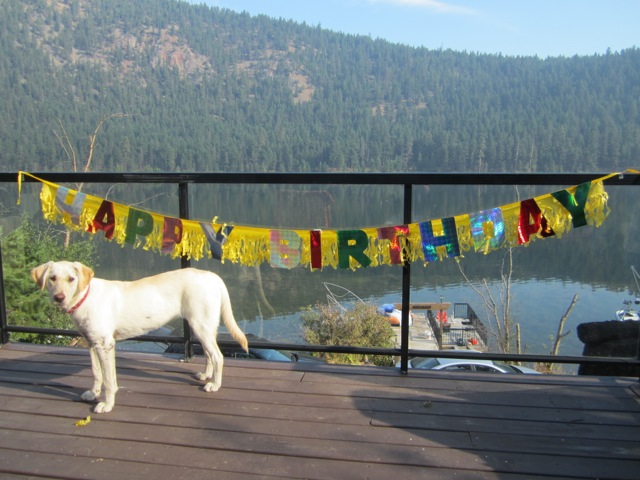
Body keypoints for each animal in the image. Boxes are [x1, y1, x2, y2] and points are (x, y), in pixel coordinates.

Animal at [31, 261, 248, 413]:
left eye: (71, 279)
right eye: (52, 278)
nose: (59, 298)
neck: (85, 297)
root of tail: (213, 277)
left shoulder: (106, 345)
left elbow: (109, 380)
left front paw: (107, 404)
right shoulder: (92, 344)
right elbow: (96, 373)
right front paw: (93, 393)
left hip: (201, 325)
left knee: (218, 356)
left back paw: (215, 385)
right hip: (202, 327)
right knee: (210, 354)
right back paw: (206, 375)